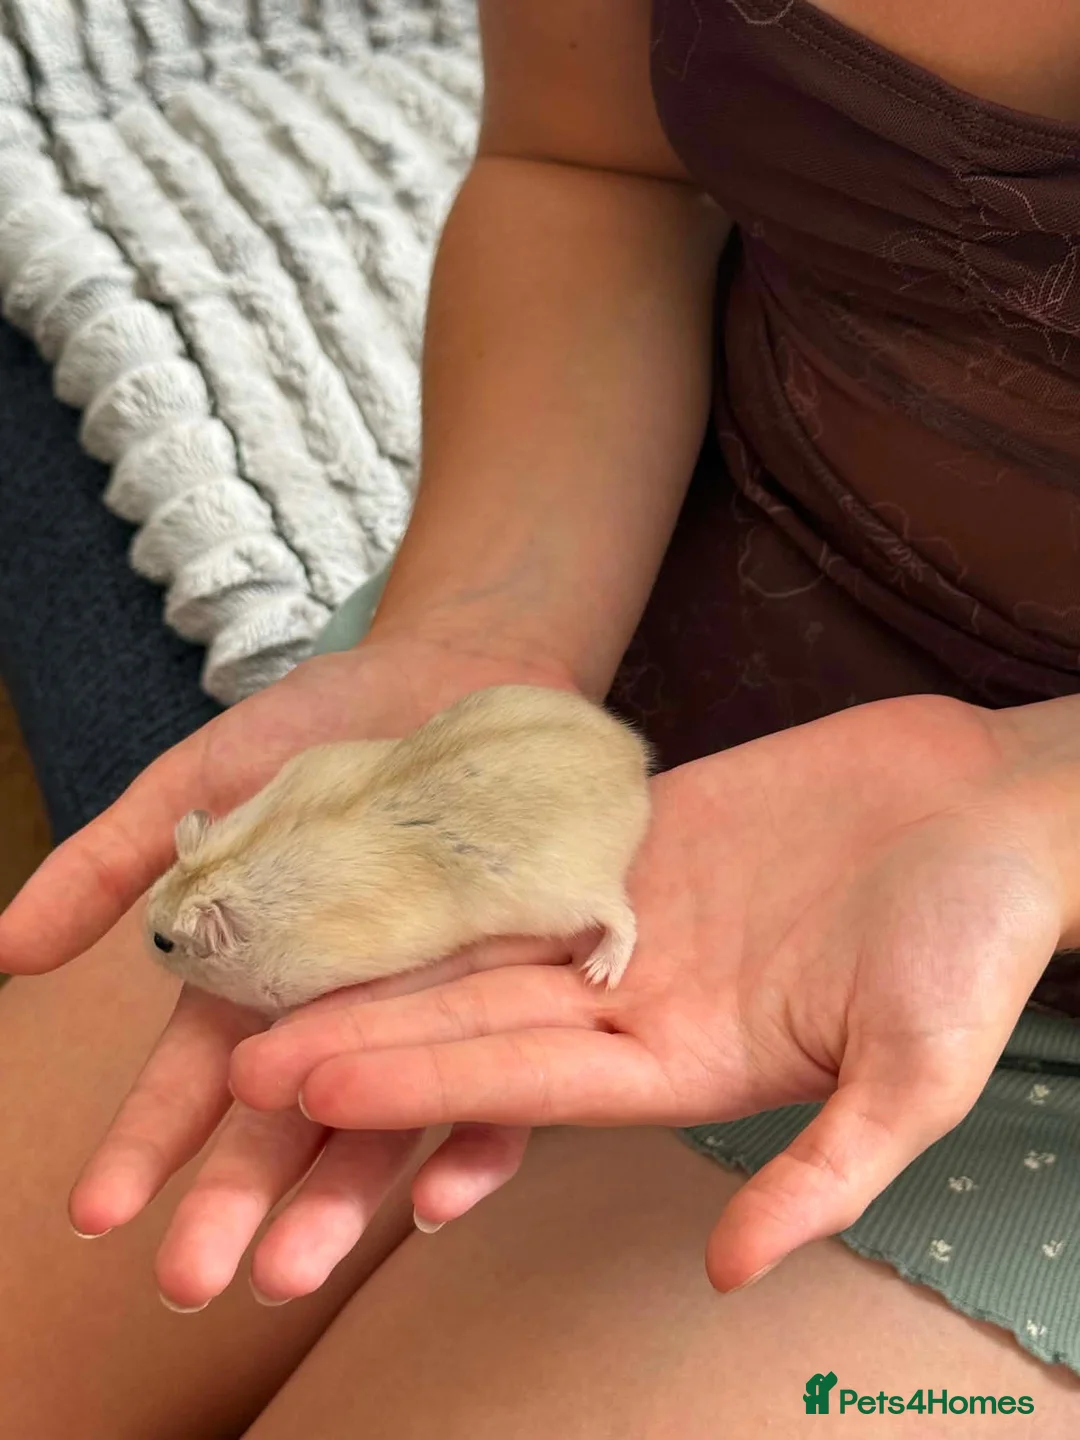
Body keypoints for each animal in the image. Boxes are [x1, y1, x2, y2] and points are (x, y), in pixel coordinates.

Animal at [144, 685, 652, 1016]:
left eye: (162, 942)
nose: (140, 936)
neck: (233, 871)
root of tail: (635, 758)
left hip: (556, 897)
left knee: (622, 916)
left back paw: (598, 973)